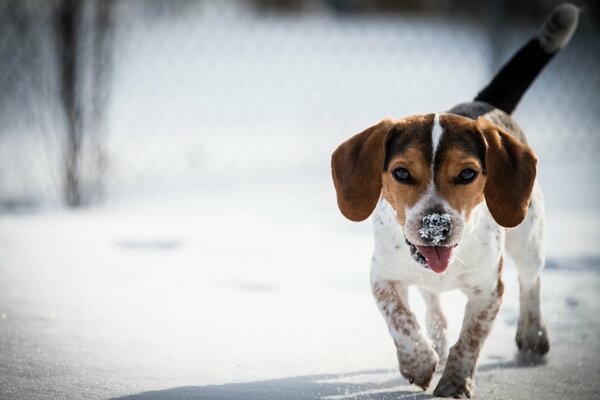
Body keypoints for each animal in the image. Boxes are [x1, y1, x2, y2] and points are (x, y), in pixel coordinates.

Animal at [330, 4, 580, 398]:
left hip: (529, 237)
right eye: (402, 173)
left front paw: (454, 383)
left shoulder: (489, 290)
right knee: (432, 303)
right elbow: (401, 320)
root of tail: (483, 103)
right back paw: (436, 337)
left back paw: (531, 334)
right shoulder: (383, 278)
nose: (436, 227)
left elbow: (470, 340)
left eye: (466, 174)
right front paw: (420, 362)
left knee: (531, 282)